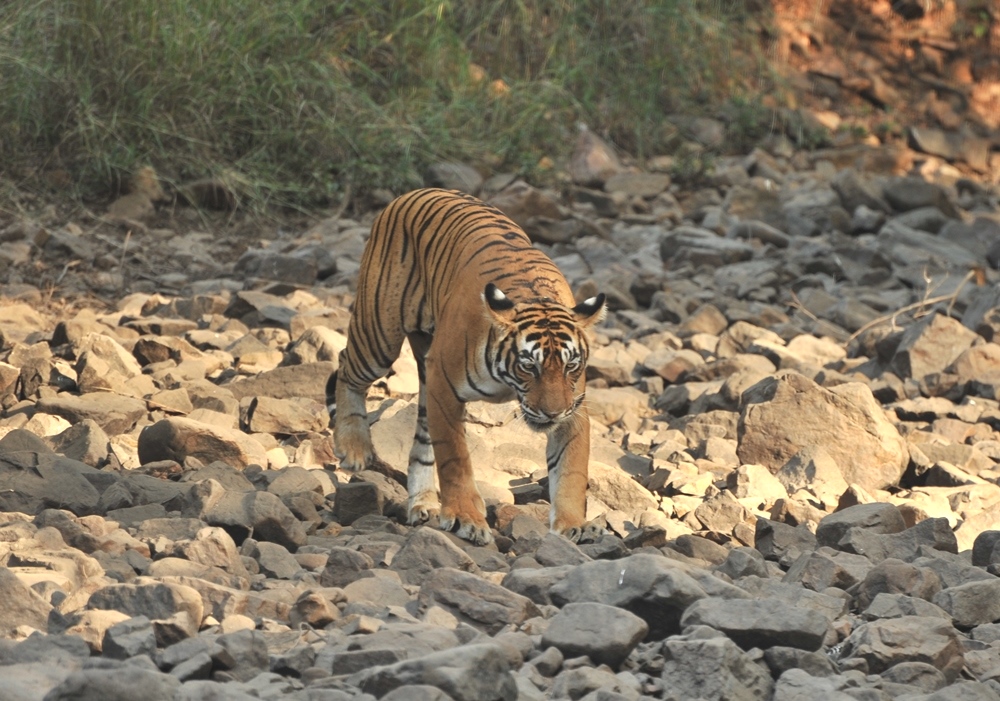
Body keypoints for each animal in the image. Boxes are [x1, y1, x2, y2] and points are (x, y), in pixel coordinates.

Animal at [331, 188, 606, 545]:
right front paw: (466, 519)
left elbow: (571, 469)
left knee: (421, 440)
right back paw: (354, 447)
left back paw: (423, 504)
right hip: (379, 334)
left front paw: (575, 525)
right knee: (345, 365)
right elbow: (454, 457)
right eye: (529, 366)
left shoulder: (575, 404)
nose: (552, 413)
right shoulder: (444, 386)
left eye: (571, 366)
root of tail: (413, 193)